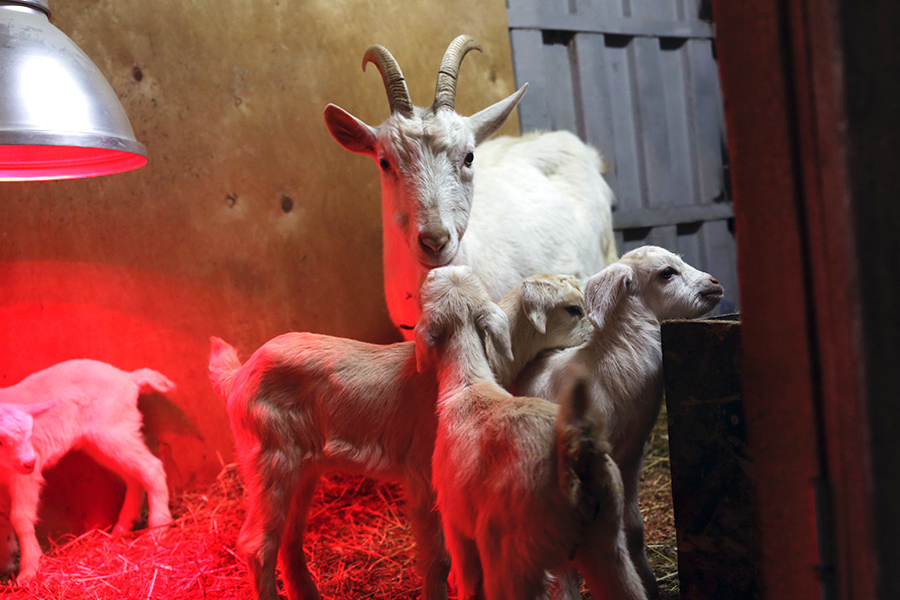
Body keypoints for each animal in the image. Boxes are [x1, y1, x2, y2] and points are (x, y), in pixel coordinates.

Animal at [0, 359, 175, 581]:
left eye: (29, 432)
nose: (30, 462)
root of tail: (128, 377)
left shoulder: (23, 477)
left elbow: (20, 518)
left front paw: (29, 570)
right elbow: (3, 518)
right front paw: (7, 561)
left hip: (113, 431)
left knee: (152, 469)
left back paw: (157, 531)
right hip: (102, 441)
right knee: (134, 477)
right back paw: (121, 529)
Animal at [207, 272, 591, 600]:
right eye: (572, 309)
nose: (592, 334)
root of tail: (238, 376)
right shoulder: (424, 473)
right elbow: (439, 559)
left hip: (304, 469)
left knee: (289, 537)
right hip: (269, 458)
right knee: (257, 545)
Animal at [415, 265, 647, 600]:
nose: (436, 270)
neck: (470, 382)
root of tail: (576, 461)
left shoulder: (452, 518)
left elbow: (466, 578)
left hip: (509, 558)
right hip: (607, 544)